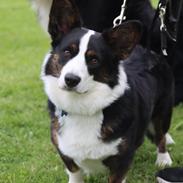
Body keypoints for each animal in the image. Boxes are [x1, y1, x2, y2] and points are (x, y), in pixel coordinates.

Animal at [40, 0, 174, 183]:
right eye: (67, 51)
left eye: (94, 60)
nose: (71, 80)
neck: (82, 108)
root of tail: (149, 51)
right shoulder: (64, 152)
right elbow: (75, 172)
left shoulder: (122, 161)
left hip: (162, 112)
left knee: (161, 134)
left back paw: (163, 160)